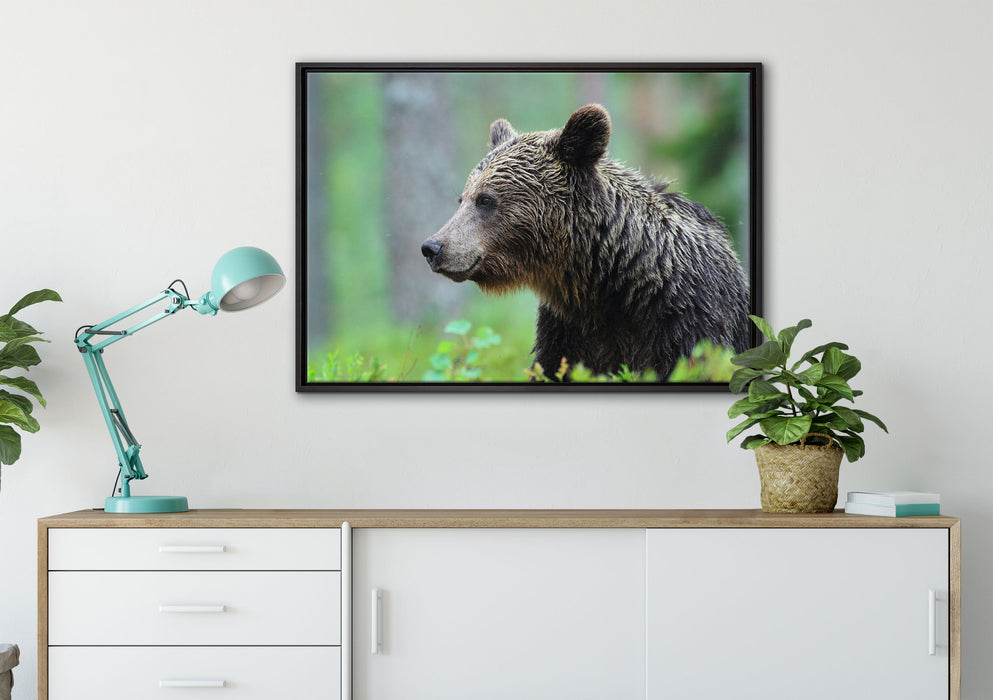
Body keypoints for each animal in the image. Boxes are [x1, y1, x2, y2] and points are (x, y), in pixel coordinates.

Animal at [420, 104, 750, 380]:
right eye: (462, 199)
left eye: (486, 199)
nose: (433, 247)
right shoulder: (567, 331)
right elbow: (553, 367)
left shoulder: (688, 320)